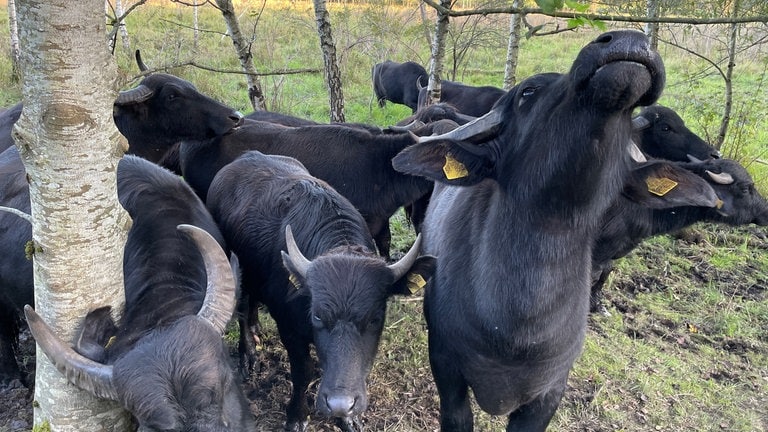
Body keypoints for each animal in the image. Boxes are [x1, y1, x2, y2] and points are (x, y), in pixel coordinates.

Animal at [204, 150, 436, 430]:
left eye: (375, 318)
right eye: (316, 315)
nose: (340, 404)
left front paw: (349, 419)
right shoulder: (289, 329)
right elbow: (303, 372)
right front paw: (297, 416)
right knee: (242, 305)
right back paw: (248, 355)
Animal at [392, 29, 668, 428]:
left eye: (631, 122)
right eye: (528, 92)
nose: (630, 40)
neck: (519, 325)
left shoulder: (549, 391)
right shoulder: (446, 366)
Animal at [588, 157, 768, 312]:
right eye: (745, 188)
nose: (765, 210)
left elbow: (606, 271)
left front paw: (597, 305)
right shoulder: (601, 249)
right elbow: (596, 274)